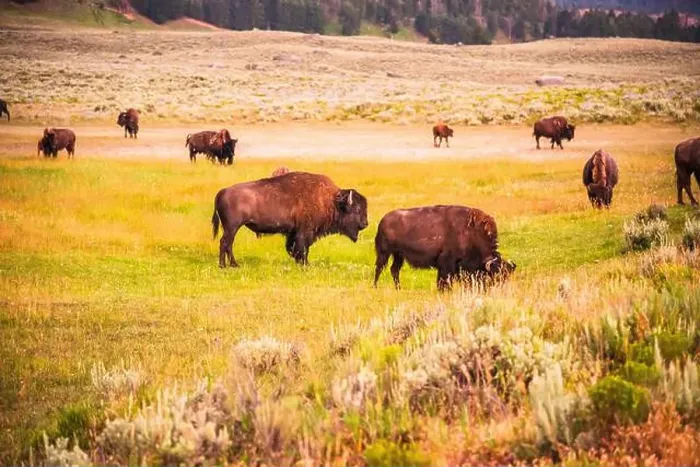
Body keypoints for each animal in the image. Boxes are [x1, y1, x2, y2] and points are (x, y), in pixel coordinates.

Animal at [212, 171, 368, 268]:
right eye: (357, 209)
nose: (365, 224)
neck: (330, 201)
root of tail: (222, 192)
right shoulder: (305, 232)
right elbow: (303, 249)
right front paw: (305, 264)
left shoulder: (293, 232)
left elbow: (294, 248)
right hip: (232, 227)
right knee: (225, 243)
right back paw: (224, 265)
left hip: (231, 228)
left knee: (228, 244)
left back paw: (232, 265)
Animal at [374, 205, 515, 291]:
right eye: (494, 276)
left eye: (506, 276)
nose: (500, 290)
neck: (472, 232)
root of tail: (383, 220)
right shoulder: (447, 263)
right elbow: (445, 280)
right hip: (384, 253)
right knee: (379, 268)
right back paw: (375, 286)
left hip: (399, 255)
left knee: (394, 270)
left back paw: (398, 288)